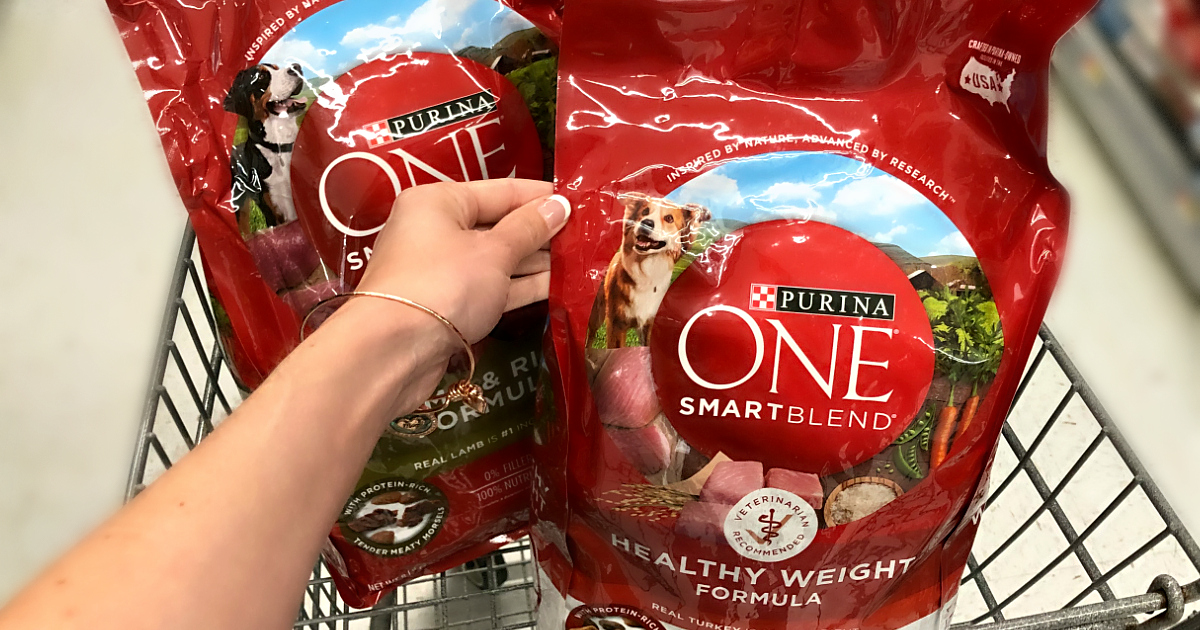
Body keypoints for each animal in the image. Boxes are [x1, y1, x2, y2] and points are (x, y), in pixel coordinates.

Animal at [600, 193, 711, 348]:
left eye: (669, 218)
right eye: (645, 212)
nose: (646, 222)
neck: (646, 271)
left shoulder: (649, 323)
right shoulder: (616, 325)